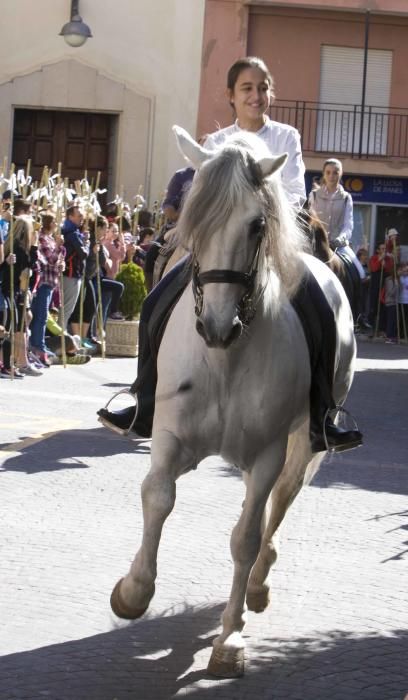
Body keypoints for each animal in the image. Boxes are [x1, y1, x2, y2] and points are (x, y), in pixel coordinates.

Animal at [109, 127, 356, 680]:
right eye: (194, 218)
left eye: (257, 224)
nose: (216, 326)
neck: (225, 357)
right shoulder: (170, 436)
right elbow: (158, 497)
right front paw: (133, 593)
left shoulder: (267, 452)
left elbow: (245, 537)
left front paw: (230, 641)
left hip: (305, 445)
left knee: (278, 504)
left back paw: (259, 587)